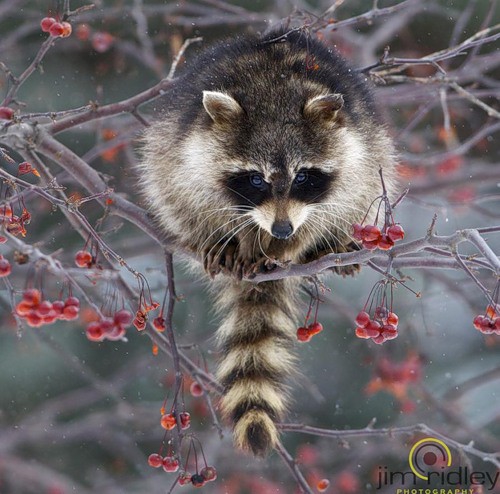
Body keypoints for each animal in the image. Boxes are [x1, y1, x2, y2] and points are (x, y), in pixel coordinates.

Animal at [139, 28, 396, 456]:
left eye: (303, 177)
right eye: (255, 179)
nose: (281, 231)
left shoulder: (356, 154)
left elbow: (338, 200)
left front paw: (300, 243)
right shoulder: (186, 152)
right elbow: (191, 191)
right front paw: (233, 237)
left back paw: (328, 245)